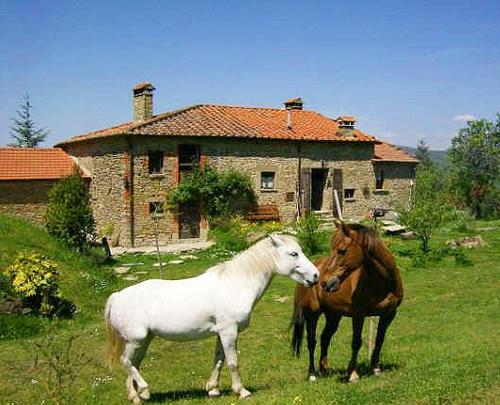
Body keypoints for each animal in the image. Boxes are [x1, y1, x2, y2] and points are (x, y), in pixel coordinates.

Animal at [104, 232, 320, 402]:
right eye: (293, 254)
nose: (316, 276)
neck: (235, 285)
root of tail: (116, 297)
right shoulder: (229, 332)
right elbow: (232, 362)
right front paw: (241, 391)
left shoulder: (222, 333)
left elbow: (219, 360)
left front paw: (213, 389)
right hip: (136, 340)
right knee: (126, 362)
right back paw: (144, 390)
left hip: (143, 341)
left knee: (133, 364)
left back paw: (136, 396)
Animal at [292, 221, 402, 382]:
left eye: (342, 250)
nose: (324, 282)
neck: (383, 281)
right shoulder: (358, 315)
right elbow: (356, 342)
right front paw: (353, 373)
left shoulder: (389, 314)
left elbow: (379, 340)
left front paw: (376, 368)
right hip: (312, 314)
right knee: (312, 341)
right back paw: (312, 374)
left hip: (333, 316)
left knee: (325, 337)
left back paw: (324, 369)